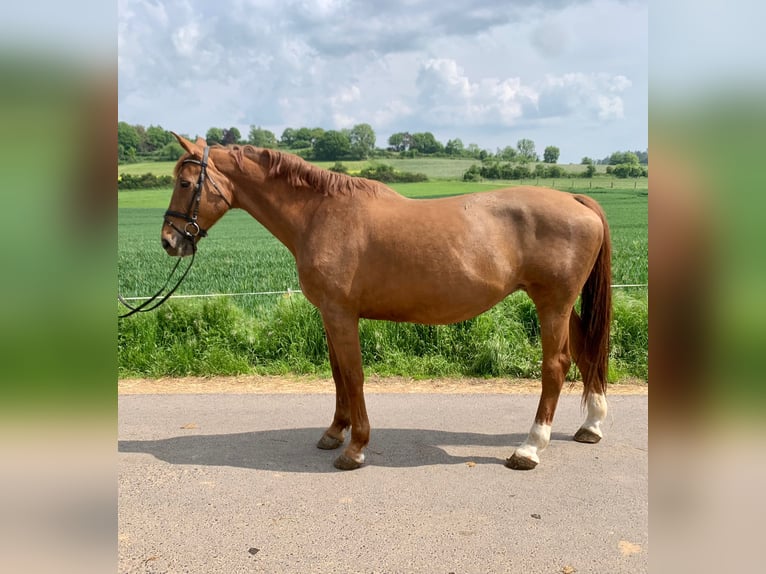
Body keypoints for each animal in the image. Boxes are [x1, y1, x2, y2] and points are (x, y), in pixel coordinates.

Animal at [164, 136, 612, 472]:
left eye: (185, 183)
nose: (170, 241)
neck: (320, 213)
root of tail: (576, 200)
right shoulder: (329, 315)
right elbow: (338, 376)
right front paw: (334, 432)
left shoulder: (341, 315)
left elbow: (354, 376)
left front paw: (355, 447)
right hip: (562, 306)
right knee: (585, 351)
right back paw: (591, 426)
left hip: (551, 304)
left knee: (556, 366)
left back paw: (530, 448)